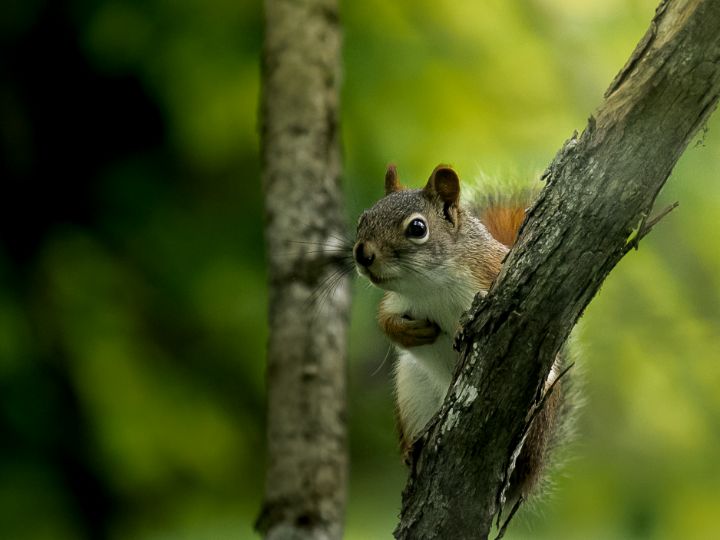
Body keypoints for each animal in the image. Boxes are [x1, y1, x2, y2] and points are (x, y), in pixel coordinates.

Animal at [354, 163, 568, 502]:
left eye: (417, 228)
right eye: (362, 220)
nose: (362, 254)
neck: (431, 285)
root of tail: (531, 476)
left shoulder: (491, 275)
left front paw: (460, 330)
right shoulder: (397, 301)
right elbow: (384, 320)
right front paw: (410, 332)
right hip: (412, 389)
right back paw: (413, 451)